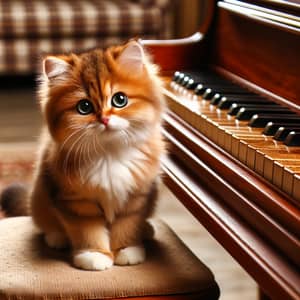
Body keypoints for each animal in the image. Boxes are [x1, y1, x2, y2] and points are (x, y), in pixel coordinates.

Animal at [29, 39, 165, 270]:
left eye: (120, 100)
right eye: (84, 107)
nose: (104, 119)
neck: (109, 154)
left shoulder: (135, 198)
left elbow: (127, 226)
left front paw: (127, 249)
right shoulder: (76, 202)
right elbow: (88, 232)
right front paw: (94, 255)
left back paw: (146, 230)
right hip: (40, 197)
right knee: (47, 224)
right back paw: (57, 237)